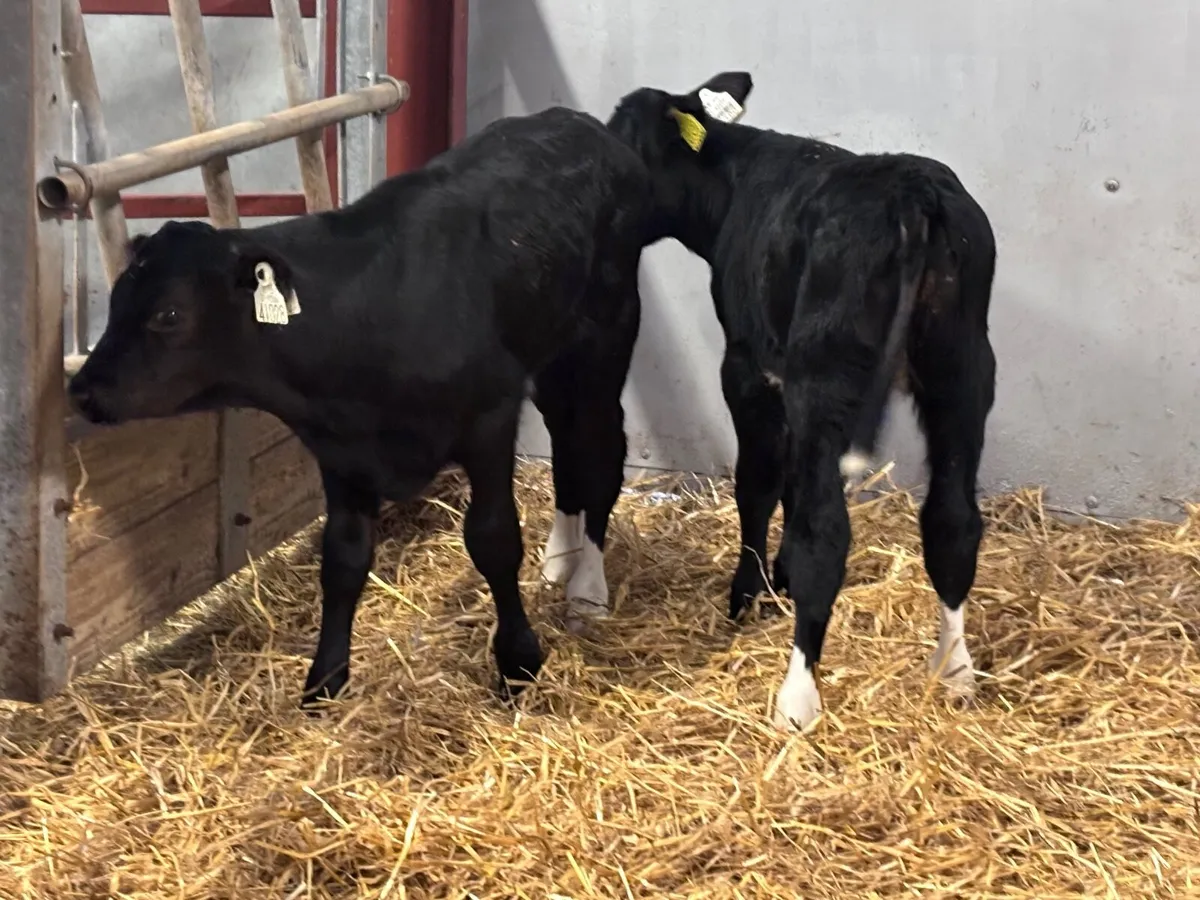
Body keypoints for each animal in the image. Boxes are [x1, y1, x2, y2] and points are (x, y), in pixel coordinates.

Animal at [67, 106, 653, 708]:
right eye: (115, 301)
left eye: (168, 315)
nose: (82, 389)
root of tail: (573, 119)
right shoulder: (339, 450)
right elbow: (343, 560)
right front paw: (325, 679)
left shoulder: (490, 419)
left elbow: (493, 539)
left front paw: (518, 663)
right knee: (567, 445)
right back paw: (560, 560)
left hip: (604, 337)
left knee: (598, 449)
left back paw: (587, 589)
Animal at [606, 72, 998, 730]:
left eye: (626, 146)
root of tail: (912, 191)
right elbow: (789, 480)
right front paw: (778, 577)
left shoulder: (748, 366)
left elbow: (759, 483)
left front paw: (751, 592)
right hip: (962, 370)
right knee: (952, 522)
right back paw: (955, 671)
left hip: (828, 374)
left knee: (828, 533)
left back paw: (797, 699)